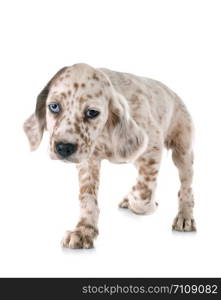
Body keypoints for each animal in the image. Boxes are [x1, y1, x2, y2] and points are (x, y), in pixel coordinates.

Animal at [23, 63, 197, 248]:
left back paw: (184, 217)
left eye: (92, 112)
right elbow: (88, 198)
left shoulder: (152, 145)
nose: (63, 148)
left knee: (186, 188)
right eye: (54, 107)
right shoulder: (88, 162)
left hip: (183, 151)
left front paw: (145, 203)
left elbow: (142, 195)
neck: (104, 133)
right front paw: (84, 231)